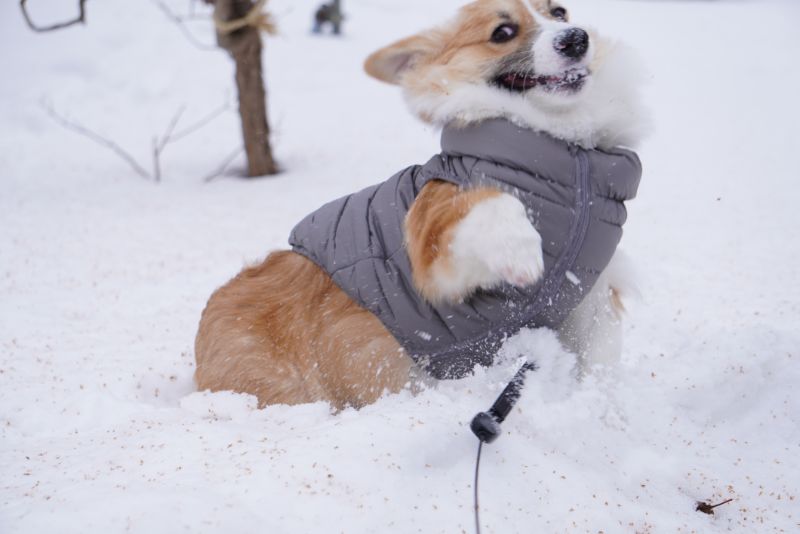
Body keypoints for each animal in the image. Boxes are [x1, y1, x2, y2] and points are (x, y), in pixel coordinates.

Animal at [195, 0, 648, 410]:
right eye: (502, 32)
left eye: (559, 12)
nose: (576, 39)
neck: (573, 157)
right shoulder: (435, 246)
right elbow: (496, 202)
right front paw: (522, 255)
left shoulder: (586, 297)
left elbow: (599, 351)